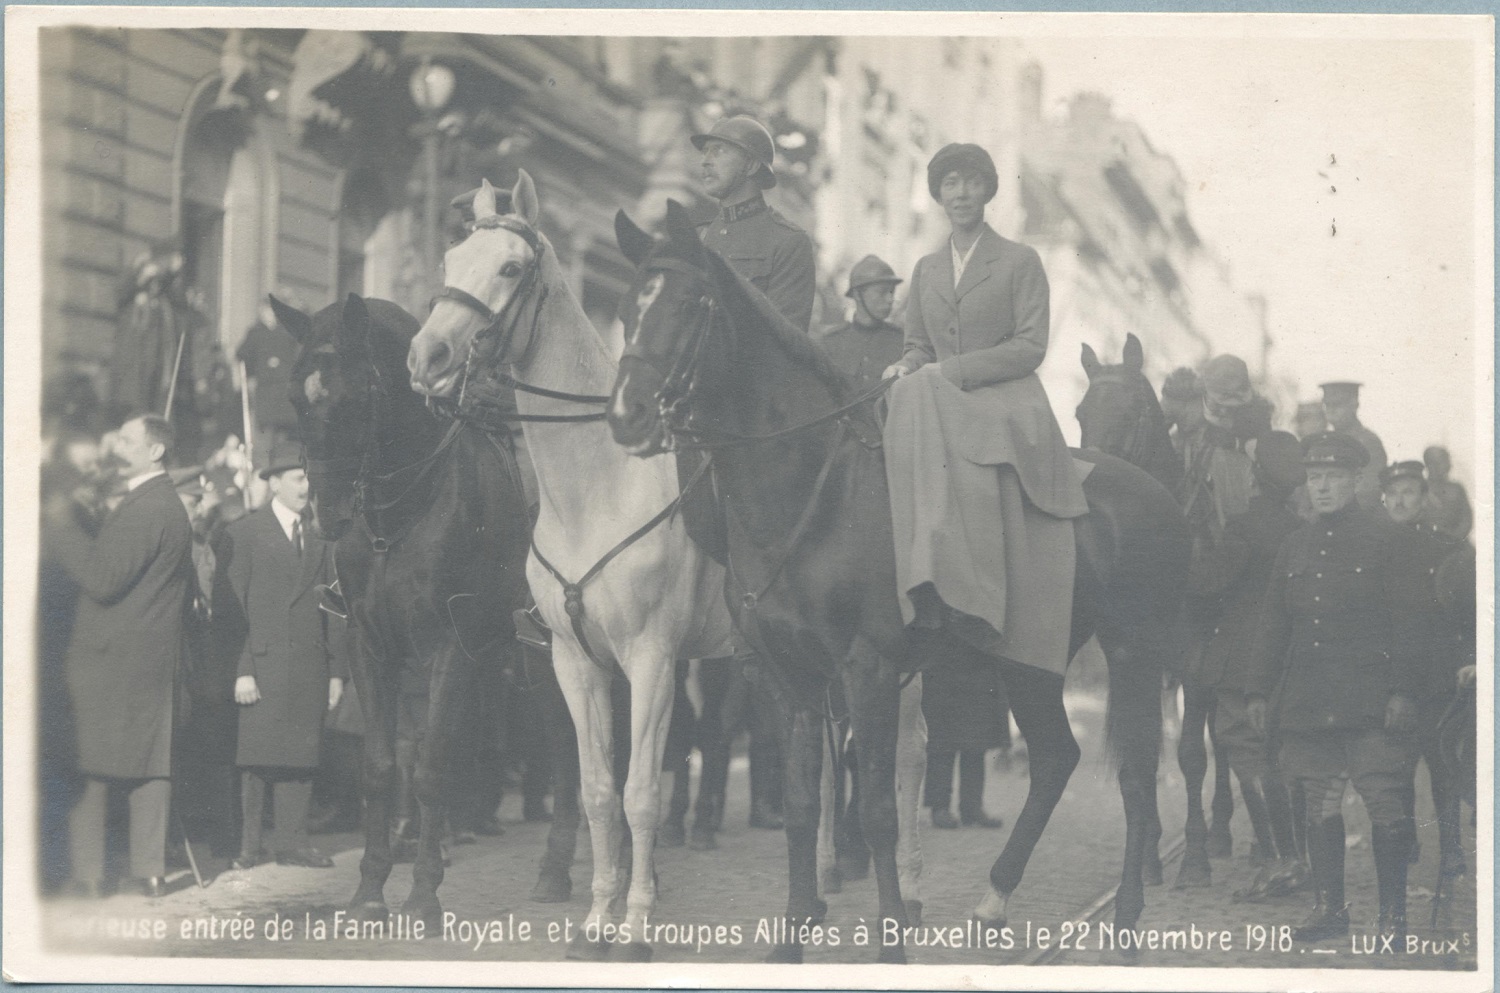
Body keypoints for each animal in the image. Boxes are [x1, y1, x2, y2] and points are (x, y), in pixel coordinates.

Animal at [273, 294, 537, 924]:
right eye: (295, 395)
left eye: (356, 396)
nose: (326, 515)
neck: (401, 513)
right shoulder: (370, 646)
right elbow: (381, 766)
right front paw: (370, 890)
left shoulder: (450, 646)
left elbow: (431, 763)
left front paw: (421, 895)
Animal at [405, 173, 732, 966]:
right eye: (452, 256)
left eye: (510, 268)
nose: (426, 356)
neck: (599, 485)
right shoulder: (574, 661)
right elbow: (594, 791)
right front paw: (596, 923)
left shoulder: (651, 658)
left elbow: (640, 791)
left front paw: (636, 930)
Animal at [606, 204, 1182, 966]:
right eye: (626, 307)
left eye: (691, 302)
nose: (627, 413)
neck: (811, 492)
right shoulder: (785, 675)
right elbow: (801, 804)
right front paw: (793, 935)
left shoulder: (869, 668)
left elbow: (877, 807)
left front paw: (889, 940)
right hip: (1029, 660)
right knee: (1057, 758)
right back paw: (994, 899)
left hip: (1134, 652)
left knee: (1137, 773)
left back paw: (1126, 916)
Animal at [1080, 334, 1242, 888]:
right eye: (1081, 412)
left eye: (1133, 412)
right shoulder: (1137, 656)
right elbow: (1143, 752)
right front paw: (1148, 855)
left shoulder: (1196, 656)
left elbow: (1191, 755)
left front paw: (1192, 858)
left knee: (1221, 739)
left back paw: (1219, 832)